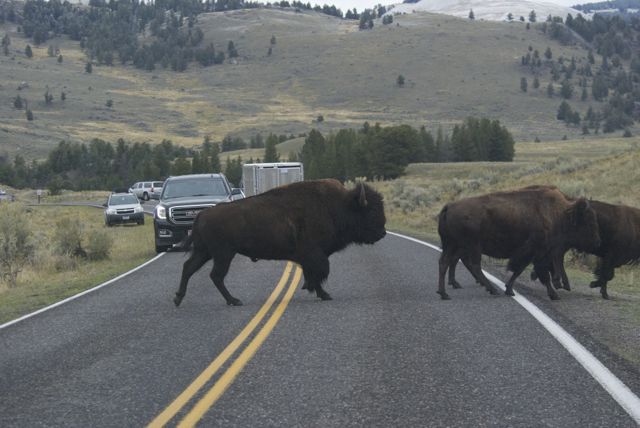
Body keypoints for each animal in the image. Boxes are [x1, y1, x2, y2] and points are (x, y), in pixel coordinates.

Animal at [174, 179, 386, 306]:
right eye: (372, 211)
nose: (383, 232)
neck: (338, 206)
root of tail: (202, 214)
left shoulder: (309, 258)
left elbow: (313, 274)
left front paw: (315, 290)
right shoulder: (314, 255)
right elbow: (320, 272)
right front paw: (323, 293)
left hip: (205, 252)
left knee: (188, 268)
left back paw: (178, 298)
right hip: (223, 254)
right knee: (216, 275)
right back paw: (234, 300)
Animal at [437, 186, 601, 300]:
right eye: (588, 221)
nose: (597, 242)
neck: (560, 214)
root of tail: (449, 206)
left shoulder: (534, 254)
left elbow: (519, 271)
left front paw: (509, 290)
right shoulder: (537, 253)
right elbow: (538, 273)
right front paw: (554, 295)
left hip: (452, 245)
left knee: (445, 262)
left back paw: (444, 293)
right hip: (472, 246)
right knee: (473, 265)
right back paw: (491, 289)